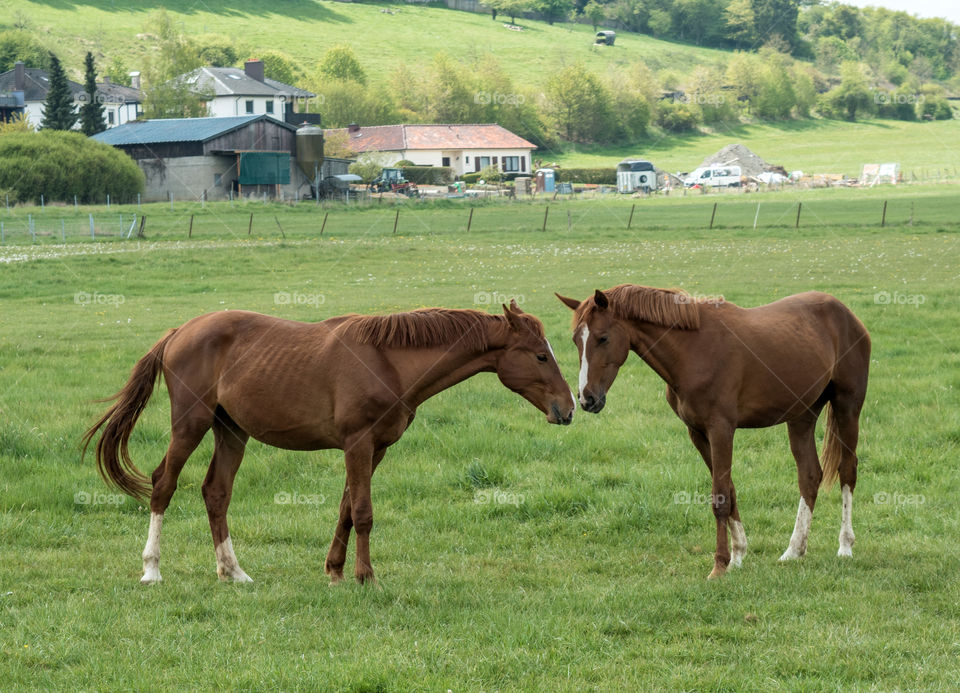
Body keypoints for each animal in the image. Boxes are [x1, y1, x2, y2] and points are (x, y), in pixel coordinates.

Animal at [82, 302, 572, 584]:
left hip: (231, 431)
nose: (568, 408)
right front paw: (365, 577)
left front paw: (334, 570)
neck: (388, 361)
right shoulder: (358, 444)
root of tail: (179, 332)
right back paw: (151, 569)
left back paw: (233, 571)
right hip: (190, 424)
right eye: (540, 355)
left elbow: (346, 510)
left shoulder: (376, 449)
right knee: (163, 484)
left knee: (216, 493)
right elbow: (364, 512)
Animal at [556, 284, 872, 576]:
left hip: (847, 407)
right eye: (575, 340)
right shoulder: (698, 433)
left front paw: (719, 565)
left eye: (603, 338)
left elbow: (719, 497)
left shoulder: (721, 429)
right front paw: (738, 555)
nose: (587, 399)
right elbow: (729, 490)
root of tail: (846, 313)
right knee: (809, 475)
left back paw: (845, 546)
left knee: (847, 471)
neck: (693, 350)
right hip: (802, 417)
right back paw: (794, 550)